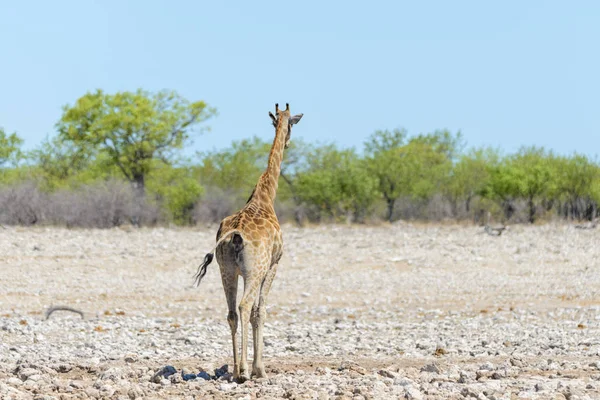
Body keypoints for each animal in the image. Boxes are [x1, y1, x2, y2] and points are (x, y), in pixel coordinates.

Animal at [195, 102, 302, 382]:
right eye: (292, 124)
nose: (288, 142)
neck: (265, 196)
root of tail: (234, 235)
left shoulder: (242, 272)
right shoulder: (273, 265)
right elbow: (259, 311)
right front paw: (259, 369)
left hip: (226, 270)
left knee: (232, 312)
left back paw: (234, 370)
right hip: (254, 270)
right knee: (244, 307)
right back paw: (243, 371)